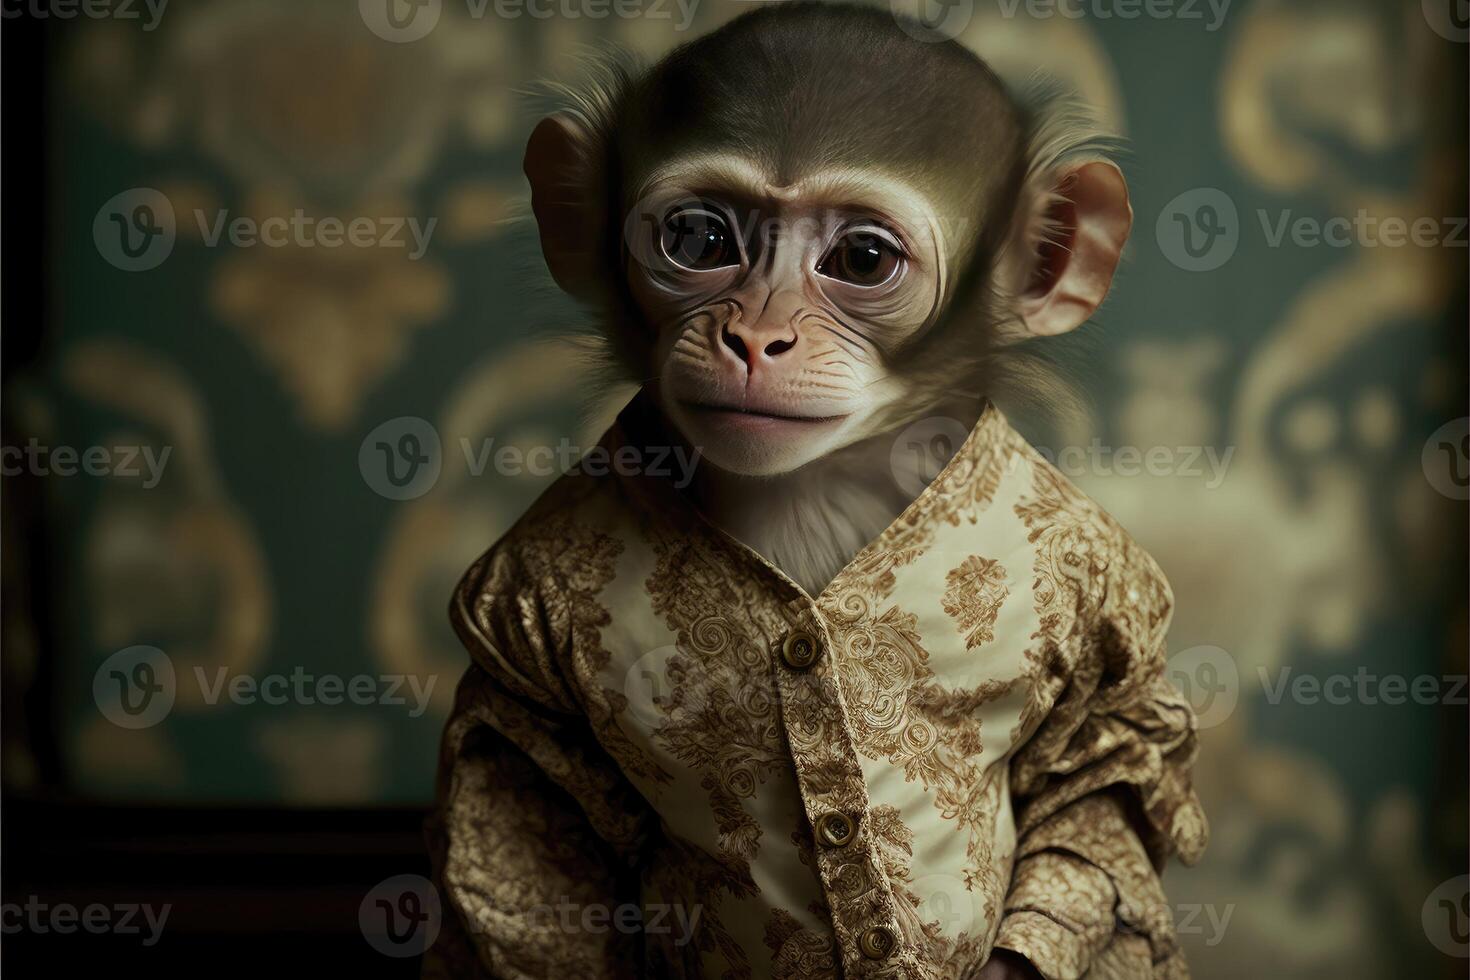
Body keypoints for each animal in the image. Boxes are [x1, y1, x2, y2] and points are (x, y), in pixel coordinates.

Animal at [427, 5, 1206, 979]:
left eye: (861, 258)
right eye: (700, 241)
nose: (756, 338)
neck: (813, 490)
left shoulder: (1096, 574)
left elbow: (1108, 765)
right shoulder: (517, 595)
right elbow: (527, 806)